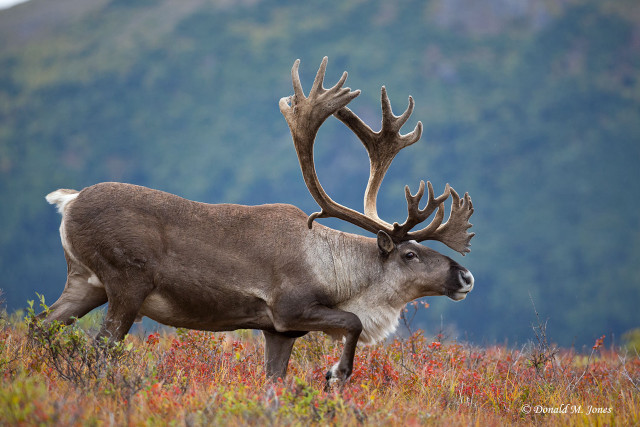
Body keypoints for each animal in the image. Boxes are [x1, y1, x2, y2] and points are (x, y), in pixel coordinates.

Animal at [41, 57, 475, 384]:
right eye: (410, 254)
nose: (466, 276)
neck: (337, 273)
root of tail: (69, 201)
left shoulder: (278, 331)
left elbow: (274, 382)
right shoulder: (291, 309)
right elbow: (351, 323)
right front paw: (335, 373)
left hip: (86, 282)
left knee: (40, 326)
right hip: (126, 284)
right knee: (99, 349)